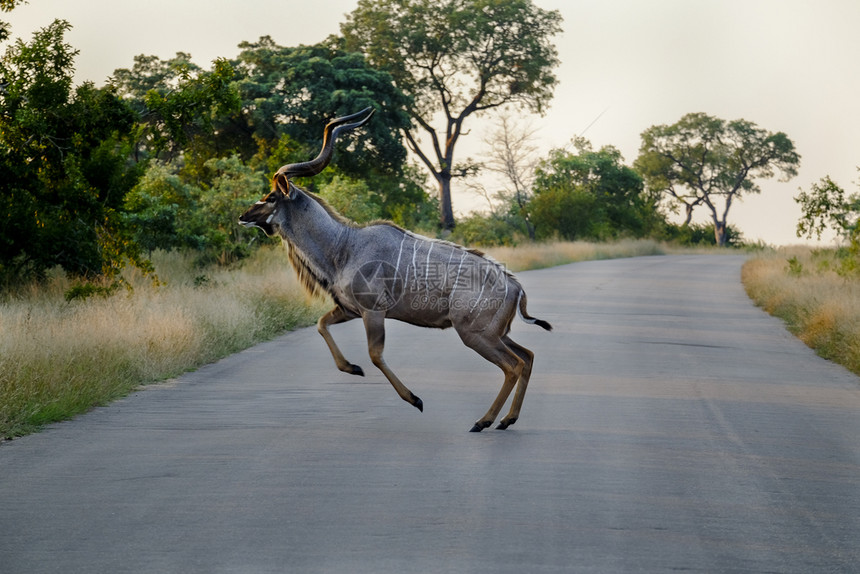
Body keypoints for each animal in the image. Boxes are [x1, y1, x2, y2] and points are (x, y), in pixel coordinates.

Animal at [242, 108, 552, 432]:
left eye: (271, 197)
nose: (243, 216)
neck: (344, 246)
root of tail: (516, 287)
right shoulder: (349, 310)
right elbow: (321, 324)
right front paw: (352, 368)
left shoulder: (373, 311)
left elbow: (375, 355)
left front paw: (415, 399)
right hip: (495, 334)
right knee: (528, 356)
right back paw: (507, 419)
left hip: (475, 334)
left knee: (513, 365)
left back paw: (484, 421)